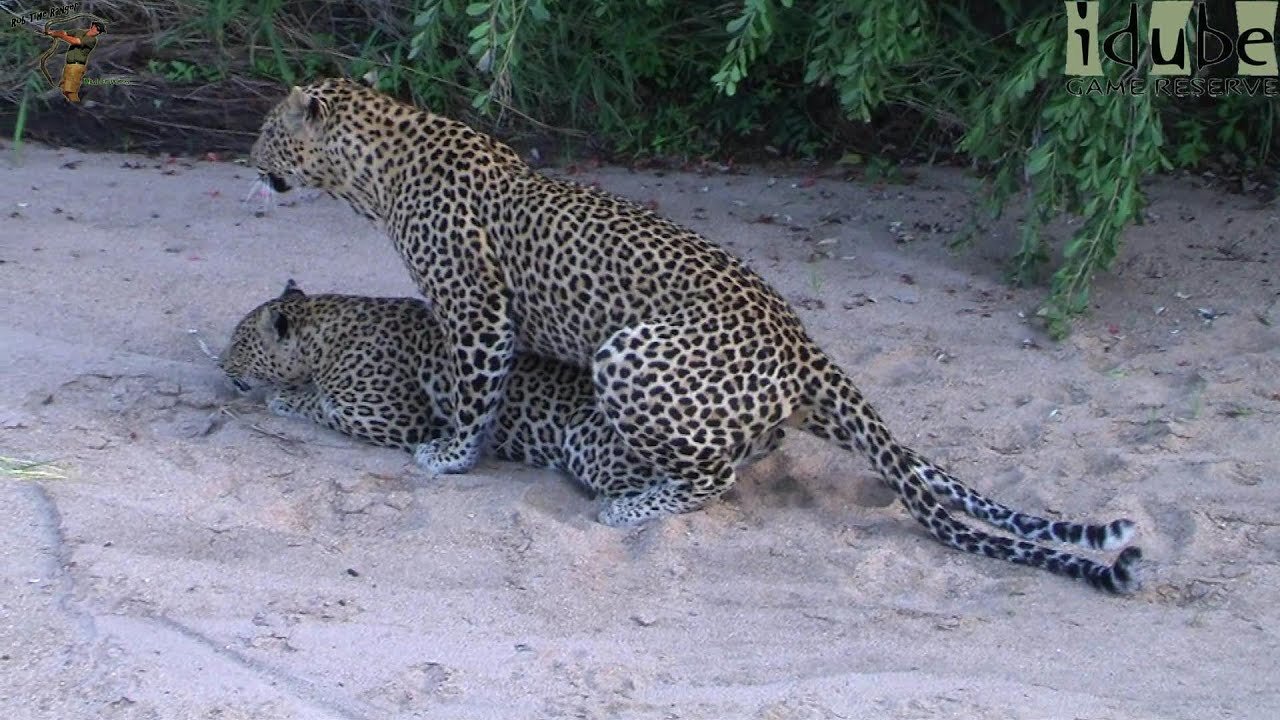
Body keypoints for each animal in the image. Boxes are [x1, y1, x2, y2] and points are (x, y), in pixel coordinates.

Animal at [247, 81, 1141, 591]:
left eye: (263, 132)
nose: (249, 162)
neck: (377, 170)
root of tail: (803, 342)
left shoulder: (476, 309)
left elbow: (473, 393)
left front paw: (448, 455)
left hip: (627, 355)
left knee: (712, 480)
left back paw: (633, 505)